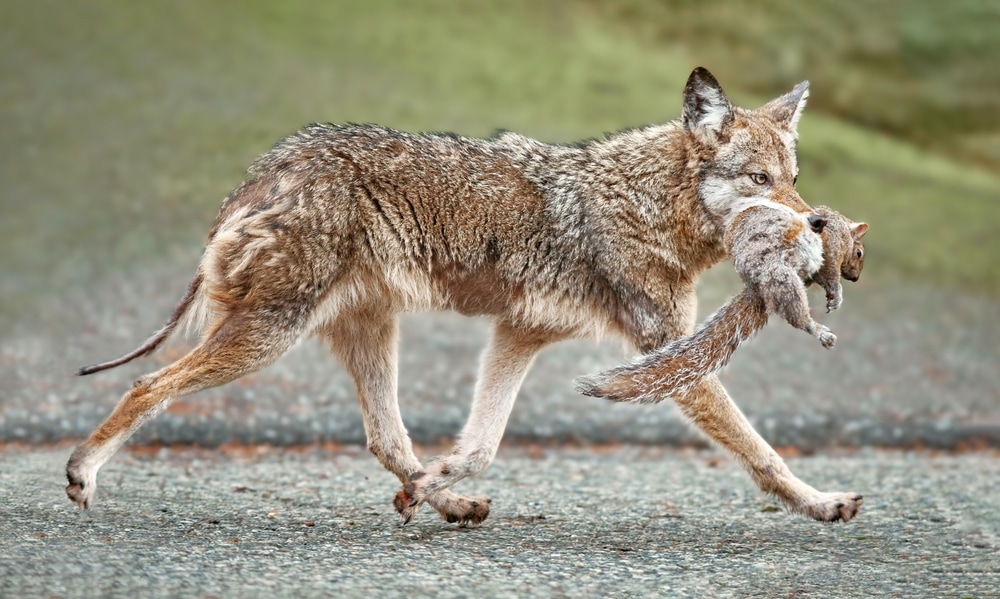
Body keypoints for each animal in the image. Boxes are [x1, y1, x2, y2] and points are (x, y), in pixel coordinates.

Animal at [576, 204, 868, 404]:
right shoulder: (832, 247)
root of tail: (754, 283)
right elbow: (830, 274)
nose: (855, 278)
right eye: (859, 253)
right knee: (797, 315)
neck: (840, 226)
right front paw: (836, 293)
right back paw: (817, 329)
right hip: (779, 273)